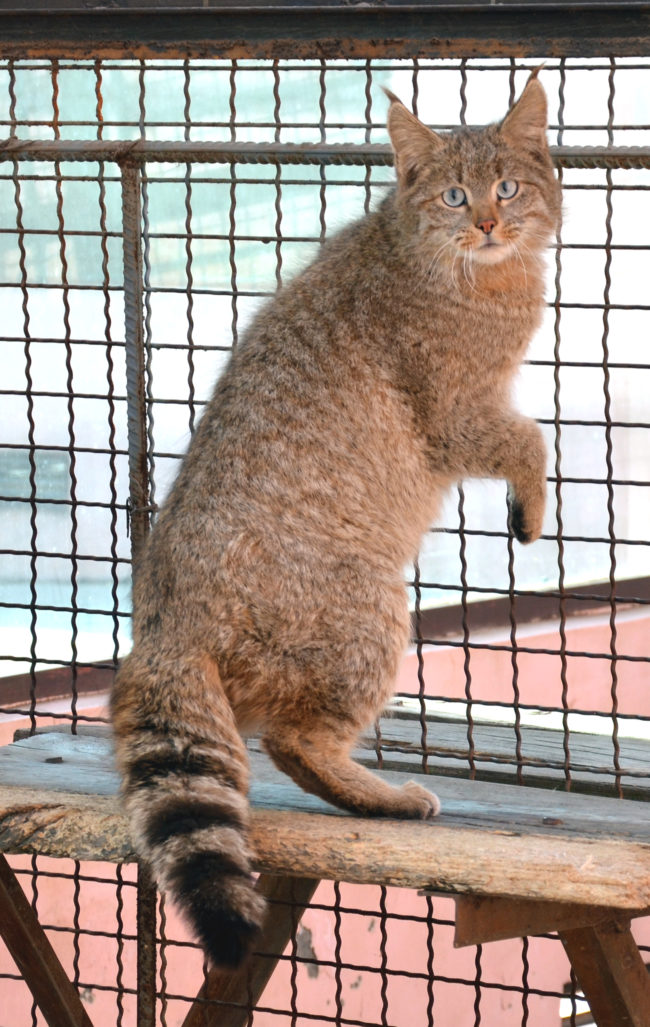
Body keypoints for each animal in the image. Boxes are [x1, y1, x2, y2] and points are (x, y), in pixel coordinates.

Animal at [108, 74, 558, 969]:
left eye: (507, 187)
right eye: (455, 196)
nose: (488, 223)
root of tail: (163, 627)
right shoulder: (457, 414)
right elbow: (531, 435)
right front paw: (530, 507)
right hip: (368, 609)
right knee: (295, 739)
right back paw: (386, 796)